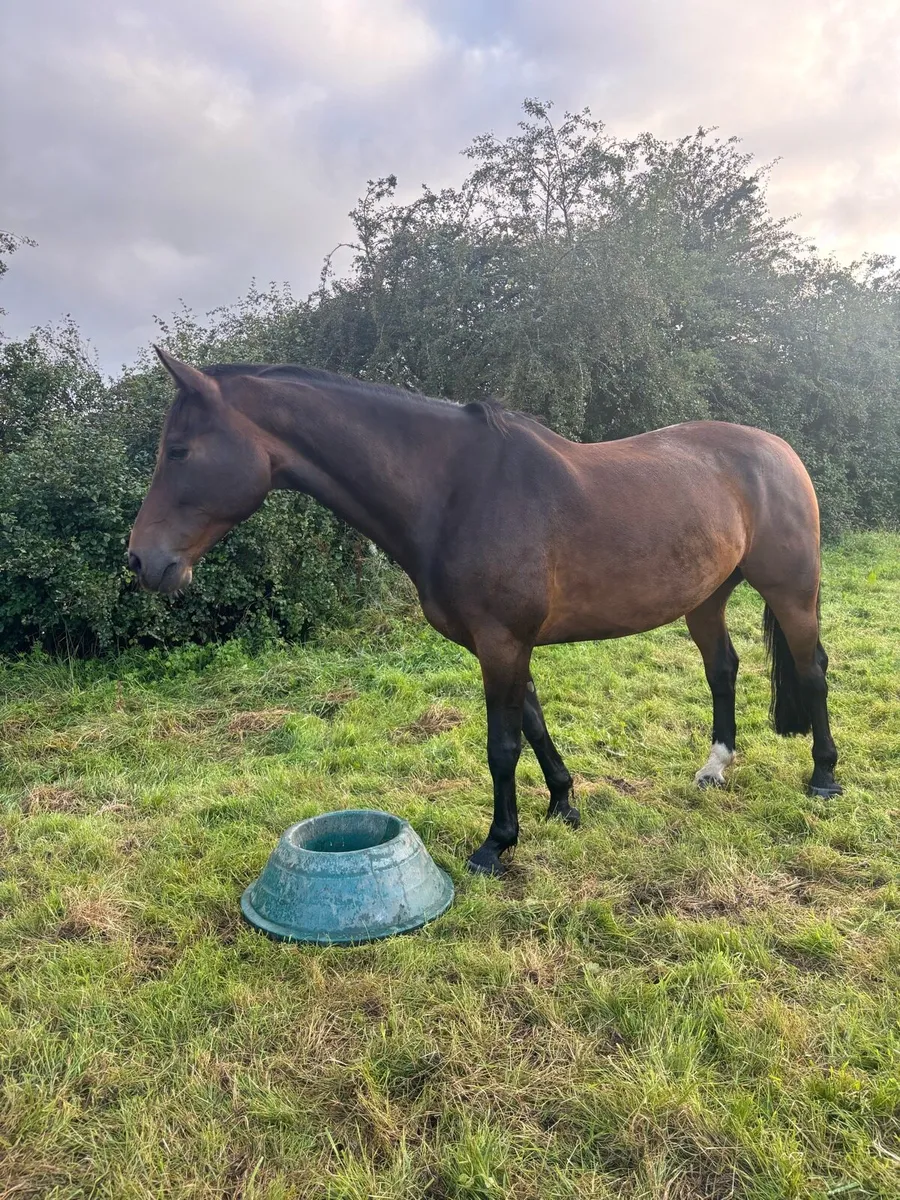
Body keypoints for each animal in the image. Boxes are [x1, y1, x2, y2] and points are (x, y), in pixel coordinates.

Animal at [128, 348, 841, 876]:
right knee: (723, 669)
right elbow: (533, 723)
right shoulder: (499, 642)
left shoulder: (502, 641)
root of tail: (777, 449)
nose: (141, 560)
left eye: (179, 450)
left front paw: (496, 844)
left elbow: (502, 744)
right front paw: (563, 805)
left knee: (812, 670)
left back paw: (824, 778)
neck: (454, 491)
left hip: (791, 589)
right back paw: (716, 766)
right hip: (706, 598)